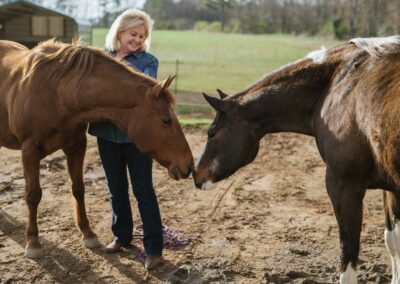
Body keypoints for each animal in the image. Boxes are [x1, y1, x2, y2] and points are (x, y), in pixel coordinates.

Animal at [0, 40, 194, 260]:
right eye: (166, 120)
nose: (189, 165)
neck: (57, 93)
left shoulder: (76, 145)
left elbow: (78, 188)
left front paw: (88, 234)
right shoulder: (30, 150)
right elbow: (33, 195)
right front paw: (33, 243)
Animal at [194, 35, 400, 282]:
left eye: (212, 132)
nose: (196, 174)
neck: (337, 83)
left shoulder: (344, 186)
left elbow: (348, 253)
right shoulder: (391, 188)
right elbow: (394, 241)